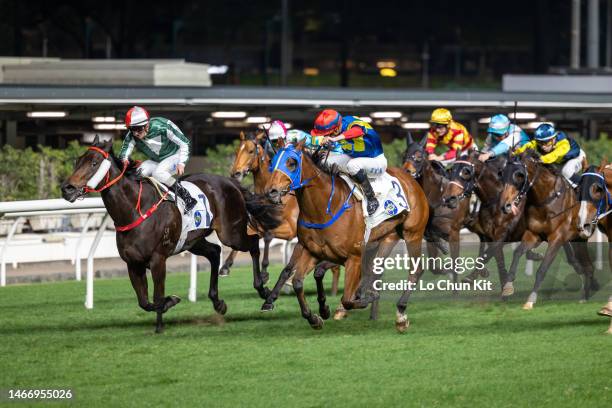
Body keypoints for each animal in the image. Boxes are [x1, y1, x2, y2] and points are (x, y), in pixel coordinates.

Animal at [61, 135, 280, 334]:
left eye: (94, 163)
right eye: (77, 161)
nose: (67, 188)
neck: (134, 209)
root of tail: (229, 181)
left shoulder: (158, 259)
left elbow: (157, 296)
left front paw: (161, 324)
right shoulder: (133, 264)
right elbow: (144, 302)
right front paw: (169, 303)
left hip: (231, 233)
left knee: (253, 244)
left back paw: (263, 288)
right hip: (192, 240)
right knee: (215, 251)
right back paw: (218, 302)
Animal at [227, 132, 342, 294]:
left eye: (250, 151)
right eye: (237, 151)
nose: (235, 173)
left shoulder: (290, 229)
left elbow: (268, 236)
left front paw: (264, 273)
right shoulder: (261, 224)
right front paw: (226, 266)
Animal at [266, 140, 428, 332]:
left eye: (292, 162)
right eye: (272, 162)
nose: (272, 191)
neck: (324, 208)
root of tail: (411, 179)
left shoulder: (353, 257)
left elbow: (347, 299)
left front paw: (363, 298)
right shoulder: (310, 249)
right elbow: (298, 281)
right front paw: (316, 316)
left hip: (413, 234)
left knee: (415, 270)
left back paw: (401, 314)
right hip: (388, 237)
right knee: (376, 269)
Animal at [500, 150, 596, 310]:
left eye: (519, 175)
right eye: (502, 173)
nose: (504, 205)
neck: (546, 199)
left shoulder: (556, 238)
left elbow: (542, 269)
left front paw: (530, 300)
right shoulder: (534, 234)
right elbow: (517, 252)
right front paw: (508, 286)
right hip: (578, 239)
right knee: (586, 265)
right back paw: (585, 294)